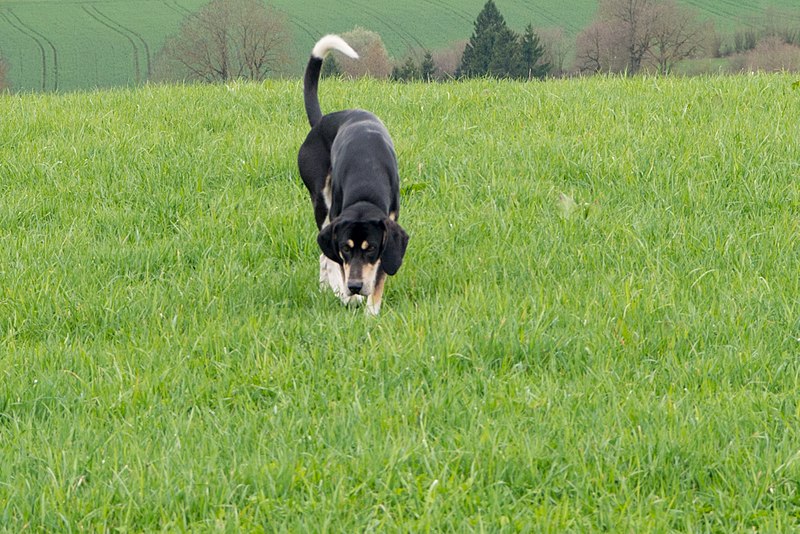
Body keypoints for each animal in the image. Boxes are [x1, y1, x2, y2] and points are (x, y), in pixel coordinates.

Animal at [300, 34, 410, 318]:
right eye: (345, 248)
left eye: (370, 248)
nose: (355, 286)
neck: (366, 180)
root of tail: (321, 121)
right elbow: (336, 263)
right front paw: (350, 297)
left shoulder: (389, 233)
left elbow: (380, 274)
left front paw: (371, 311)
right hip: (321, 203)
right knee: (325, 258)